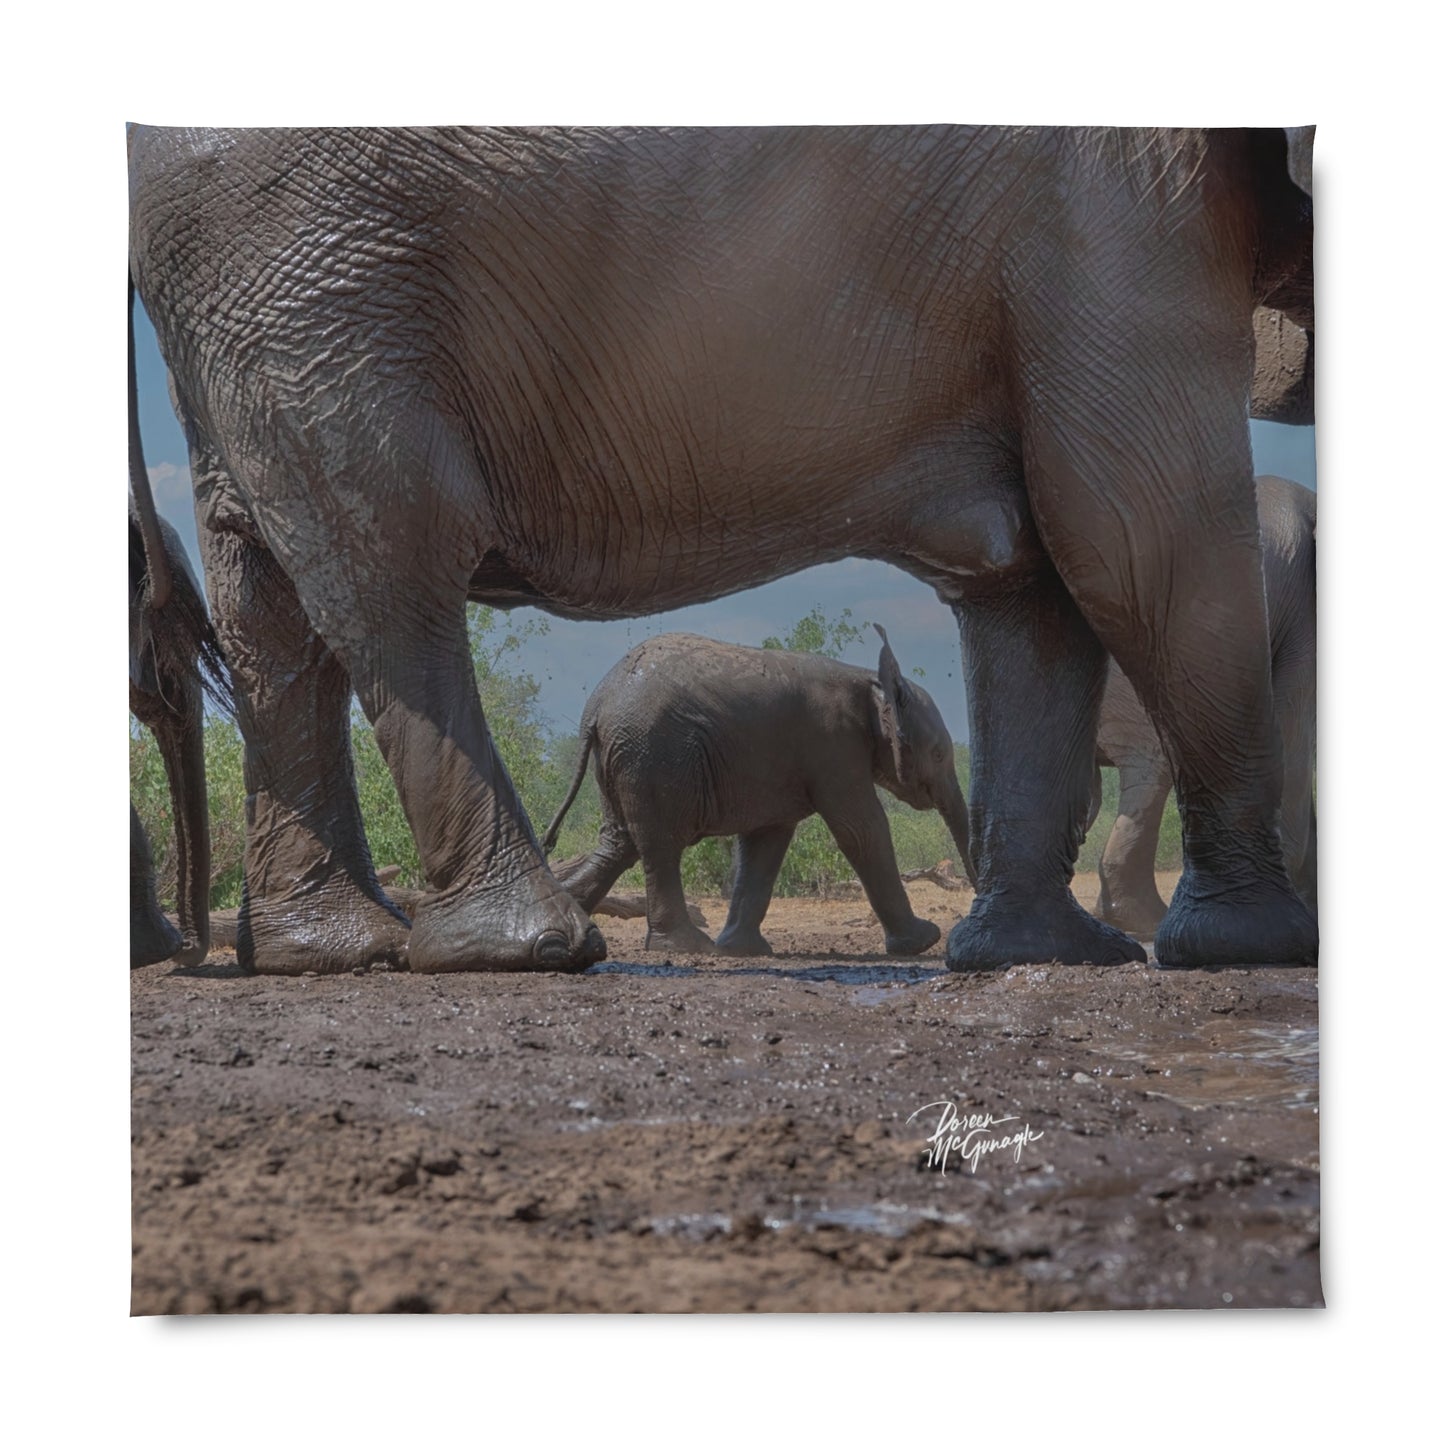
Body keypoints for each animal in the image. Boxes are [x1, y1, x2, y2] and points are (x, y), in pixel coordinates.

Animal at [540, 628, 973, 957]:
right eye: (938, 753)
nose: (963, 924)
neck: (871, 681)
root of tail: (597, 705)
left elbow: (765, 844)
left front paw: (743, 949)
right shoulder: (833, 747)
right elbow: (861, 830)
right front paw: (924, 941)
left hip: (622, 756)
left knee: (618, 845)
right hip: (653, 754)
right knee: (660, 846)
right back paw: (687, 947)